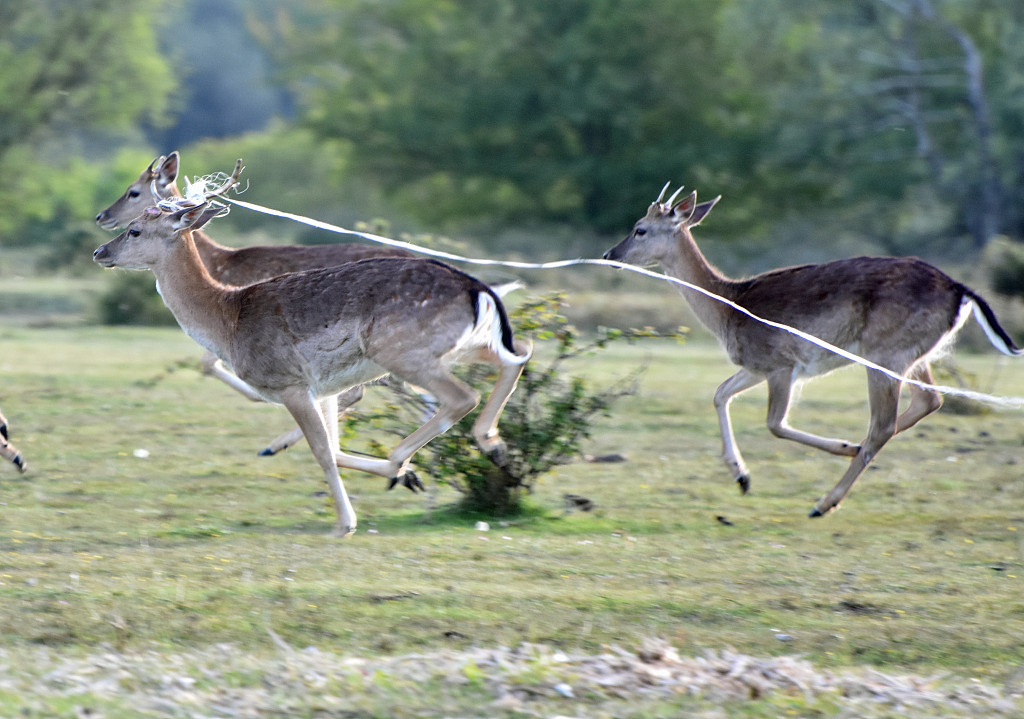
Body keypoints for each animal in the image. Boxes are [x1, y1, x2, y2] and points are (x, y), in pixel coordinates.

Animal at [603, 185, 1021, 517]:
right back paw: (852, 453)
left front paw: (835, 447)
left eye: (640, 229)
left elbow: (774, 423)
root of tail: (961, 290)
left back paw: (825, 500)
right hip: (913, 353)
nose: (610, 255)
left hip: (886, 352)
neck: (728, 309)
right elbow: (719, 393)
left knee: (883, 424)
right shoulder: (755, 364)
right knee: (929, 400)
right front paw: (741, 477)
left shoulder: (782, 363)